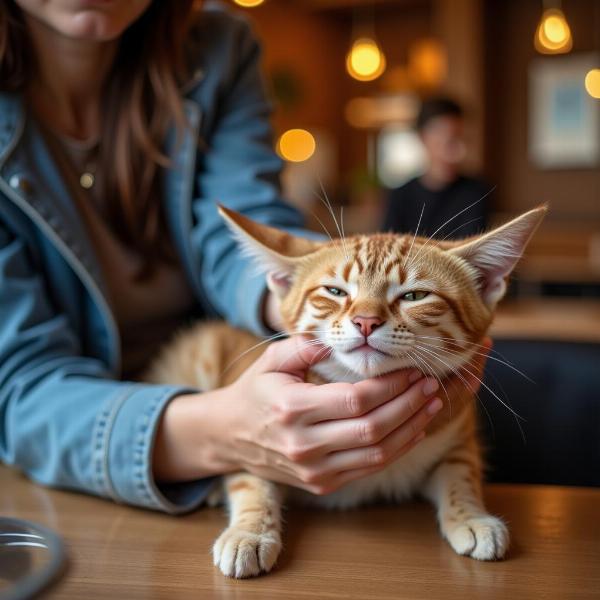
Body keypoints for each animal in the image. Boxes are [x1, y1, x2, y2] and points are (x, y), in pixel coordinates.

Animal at [146, 205, 548, 576]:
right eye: (335, 291)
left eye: (415, 295)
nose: (366, 321)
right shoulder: (251, 436)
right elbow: (251, 480)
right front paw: (250, 532)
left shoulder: (457, 429)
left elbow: (460, 470)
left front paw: (471, 516)